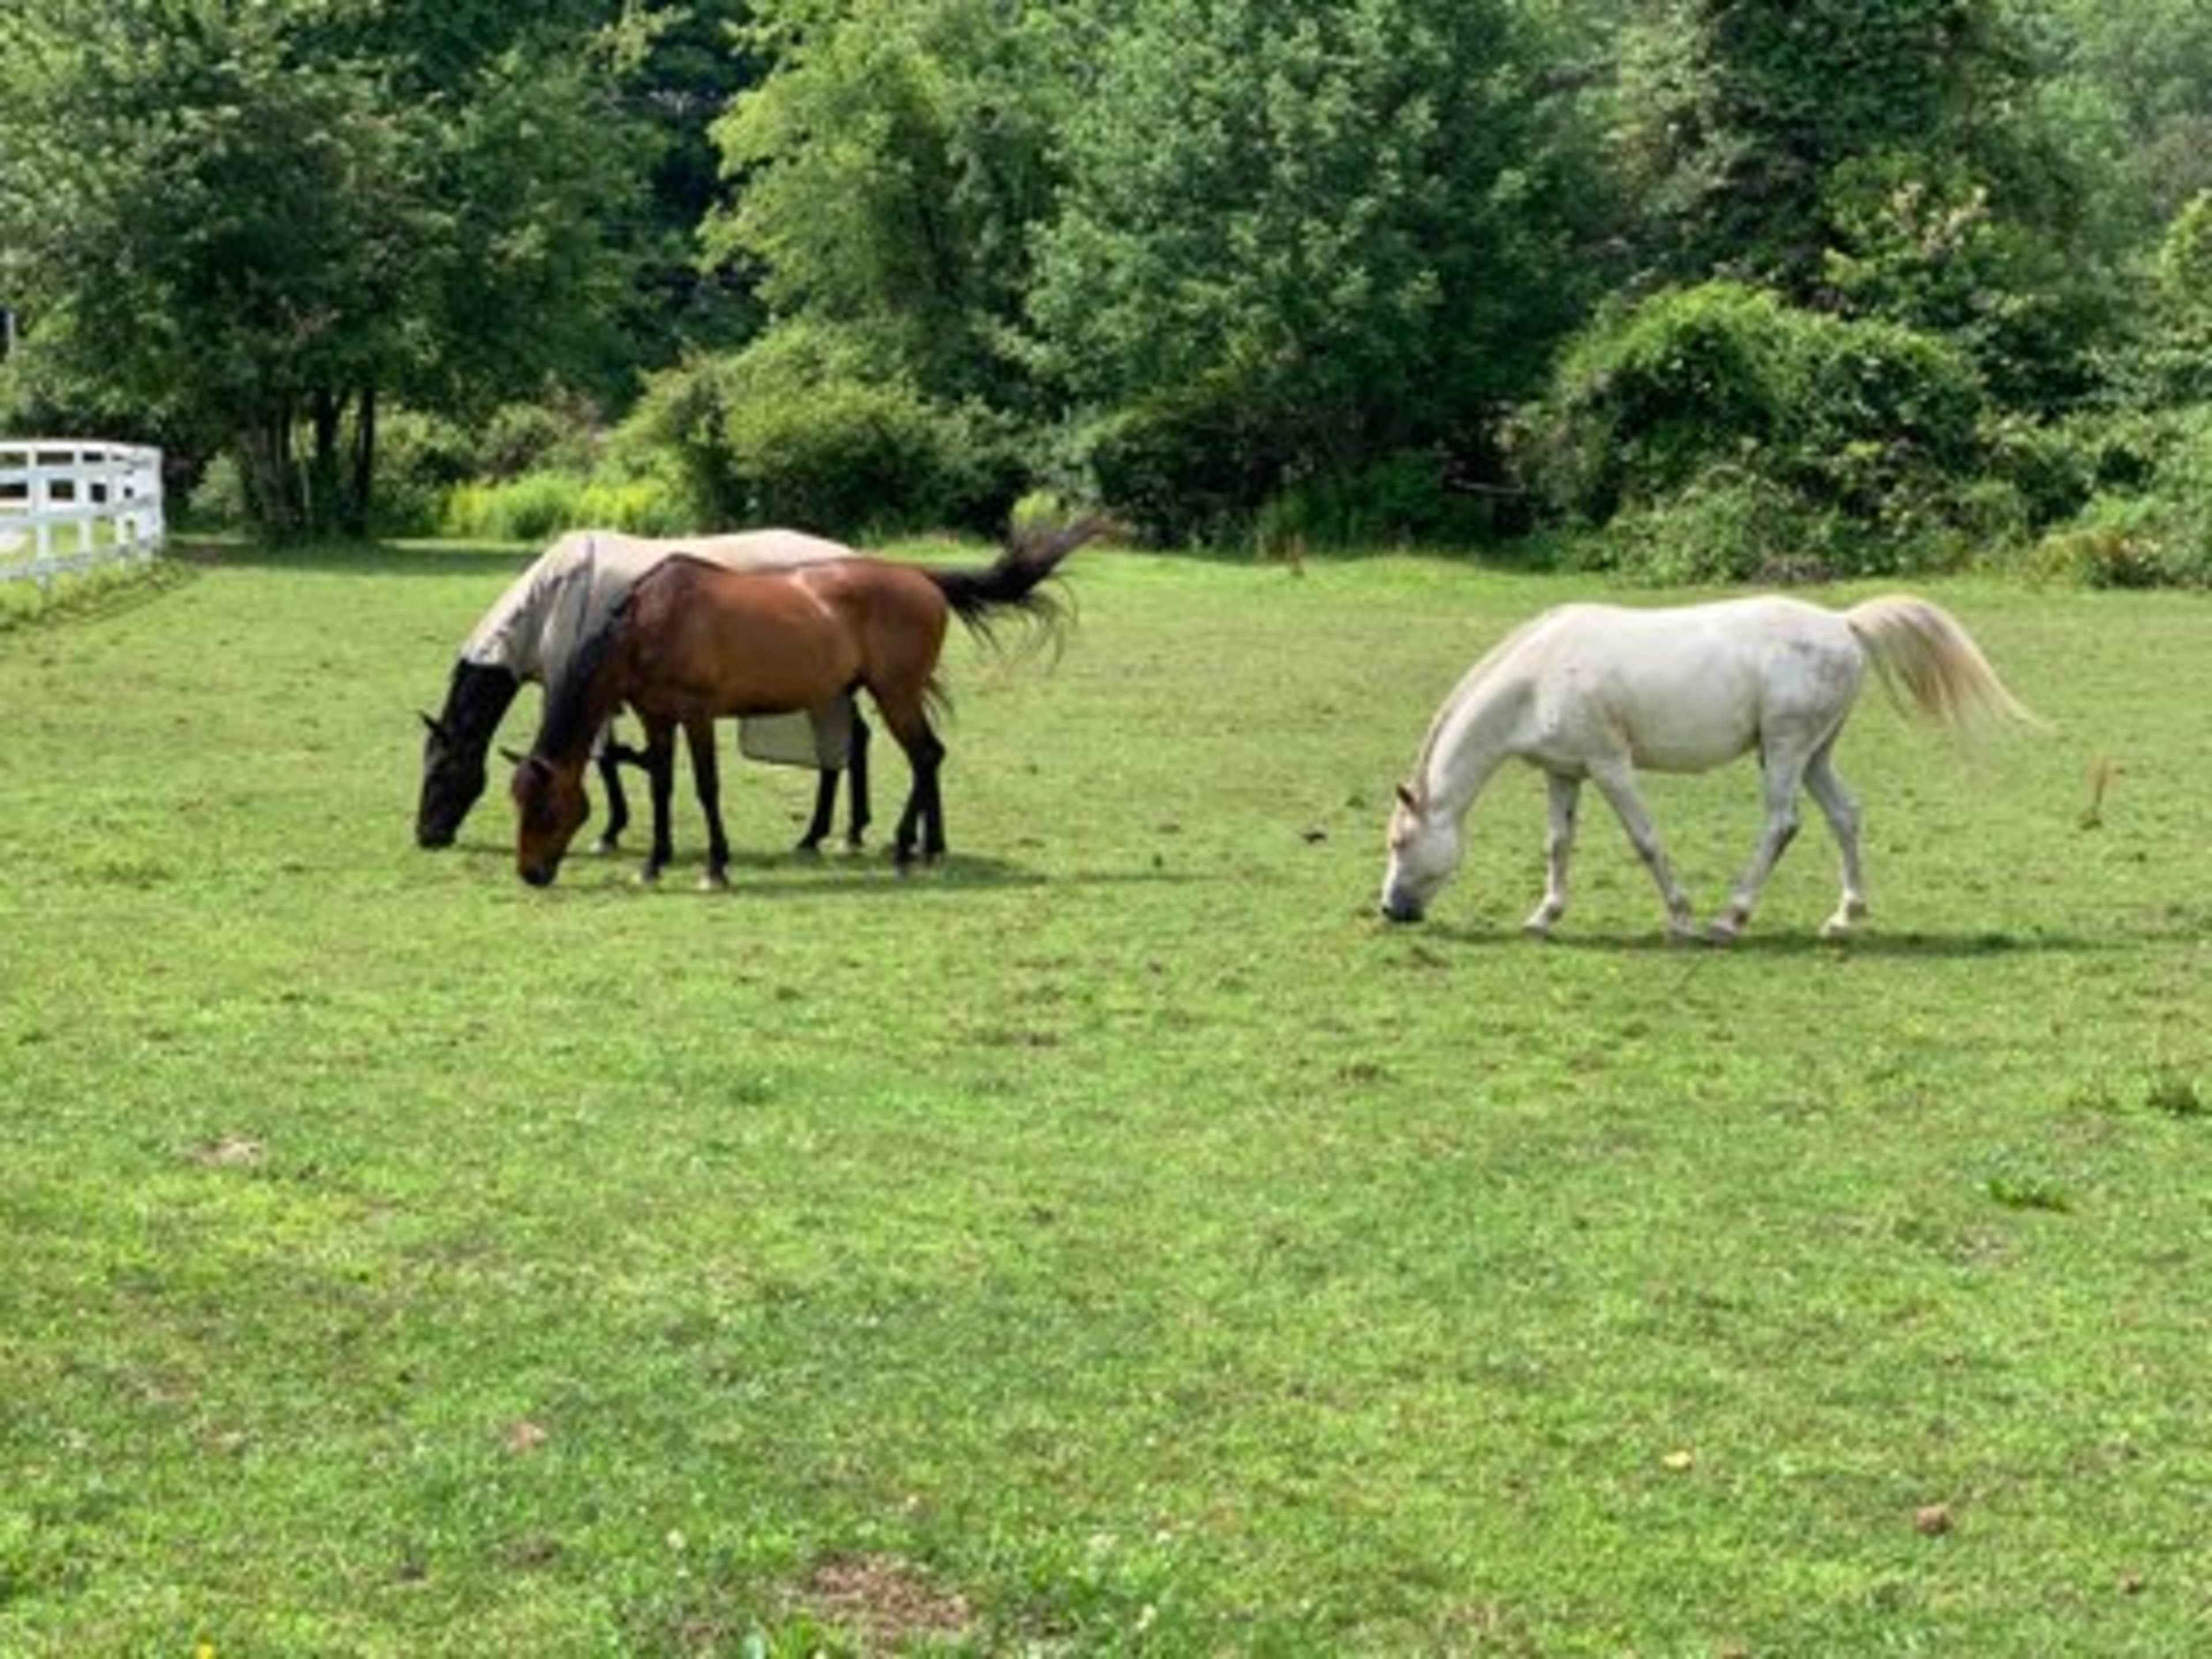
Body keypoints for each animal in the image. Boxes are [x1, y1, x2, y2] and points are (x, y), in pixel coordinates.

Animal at [415, 528, 873, 854]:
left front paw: (610, 830)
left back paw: (823, 835)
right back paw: (844, 832)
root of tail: (850, 557)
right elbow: (611, 760)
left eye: (440, 773)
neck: (552, 602)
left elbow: (603, 762)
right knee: (854, 740)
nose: (427, 836)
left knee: (842, 745)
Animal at [511, 519, 1100, 888]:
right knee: (928, 757)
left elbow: (705, 787)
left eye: (546, 807)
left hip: (895, 694)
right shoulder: (658, 717)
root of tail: (921, 576)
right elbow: (662, 786)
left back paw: (906, 850)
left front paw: (716, 868)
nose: (530, 874)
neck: (649, 623)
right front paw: (655, 863)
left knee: (925, 755)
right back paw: (930, 848)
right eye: (517, 803)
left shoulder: (697, 716)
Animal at [1379, 593, 2042, 941]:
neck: (1539, 676)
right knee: (1846, 816)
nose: (1391, 910)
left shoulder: (1610, 765)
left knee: (1783, 824)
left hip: (1785, 751)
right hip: (1814, 755)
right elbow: (1558, 844)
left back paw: (1731, 918)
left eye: (1400, 841)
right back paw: (1843, 916)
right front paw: (1544, 916)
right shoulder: (1564, 773)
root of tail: (1843, 623)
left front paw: (1680, 916)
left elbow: (1645, 840)